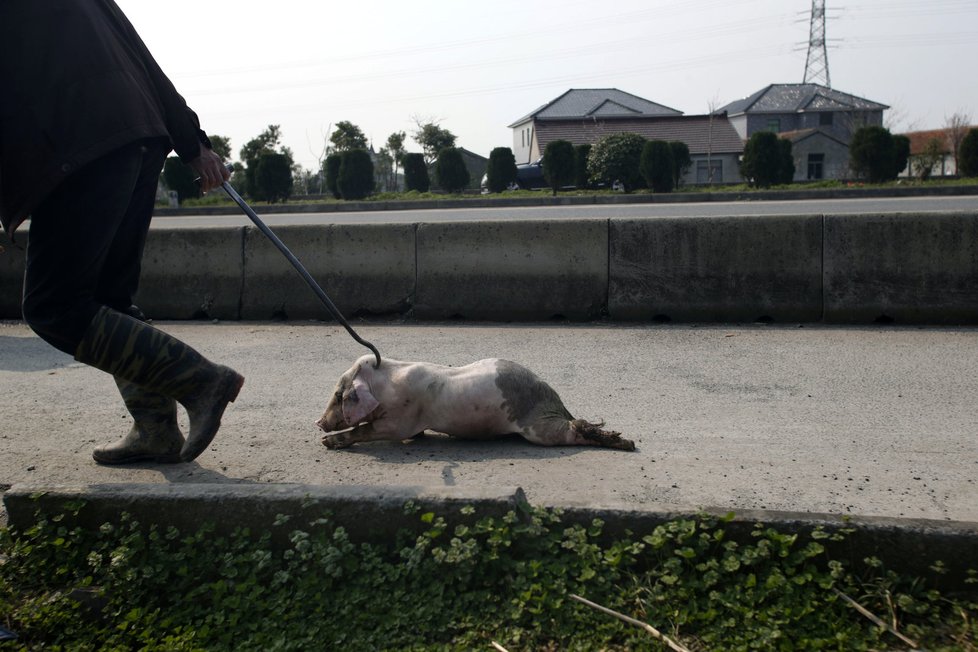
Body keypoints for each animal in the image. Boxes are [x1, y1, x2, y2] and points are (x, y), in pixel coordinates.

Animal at [314, 354, 632, 450]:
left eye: (338, 395)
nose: (318, 422)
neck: (384, 387)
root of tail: (554, 399)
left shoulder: (400, 420)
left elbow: (366, 430)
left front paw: (328, 444)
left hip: (538, 428)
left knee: (574, 428)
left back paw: (626, 443)